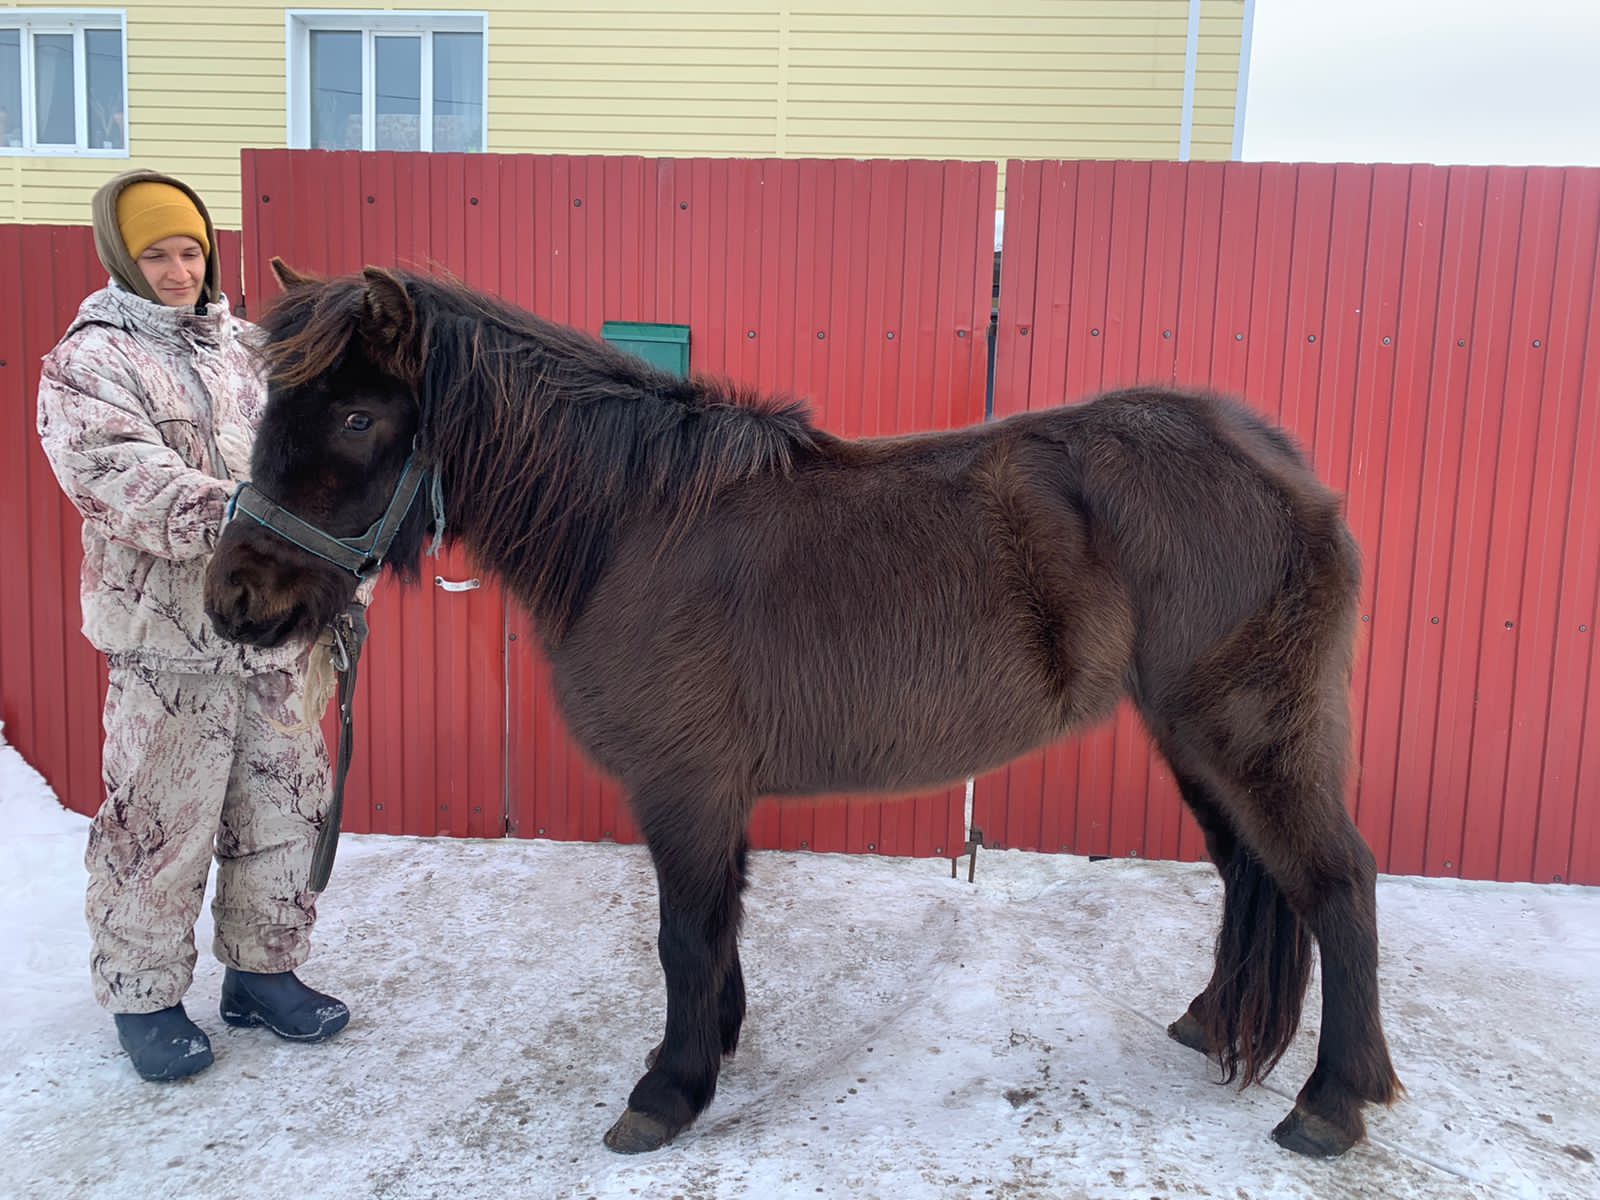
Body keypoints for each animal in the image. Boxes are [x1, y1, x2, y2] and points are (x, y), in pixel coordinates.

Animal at [203, 259, 1402, 1159]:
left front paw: (667, 1092)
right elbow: (721, 926)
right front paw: (717, 1047)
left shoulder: (682, 787)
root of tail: (1278, 461)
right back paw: (1216, 1026)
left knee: (1336, 883)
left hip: (1247, 734)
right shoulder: (714, 794)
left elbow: (684, 936)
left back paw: (1333, 1102)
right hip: (1197, 742)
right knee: (1254, 876)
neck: (631, 525)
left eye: (358, 414)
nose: (235, 601)